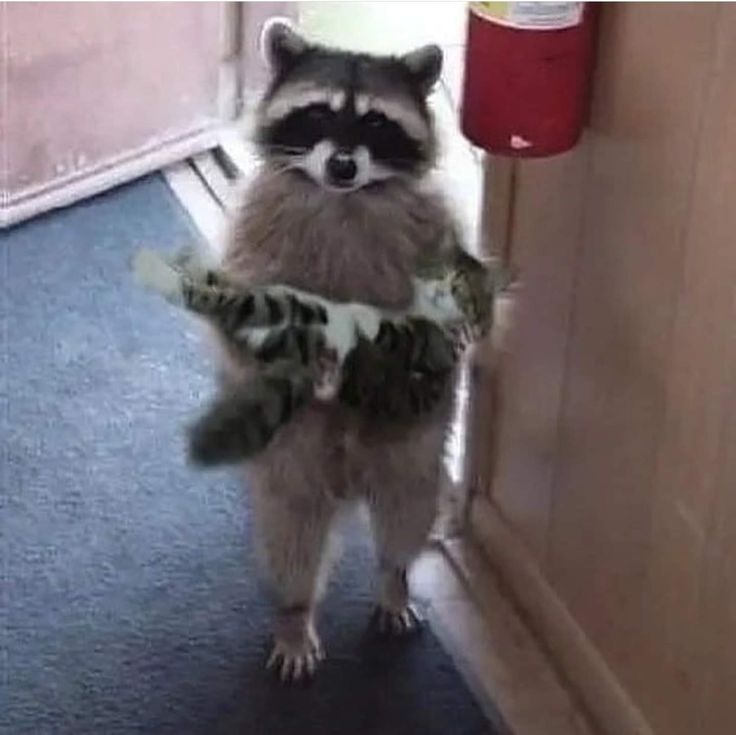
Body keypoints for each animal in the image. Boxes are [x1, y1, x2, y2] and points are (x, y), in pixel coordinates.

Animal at [218, 18, 484, 684]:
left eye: (375, 123)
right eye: (317, 114)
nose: (342, 165)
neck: (342, 195)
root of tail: (348, 469)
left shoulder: (431, 224)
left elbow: (449, 283)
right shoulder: (257, 229)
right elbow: (249, 300)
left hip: (411, 436)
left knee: (405, 506)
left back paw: (394, 578)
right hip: (296, 450)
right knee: (292, 527)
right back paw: (294, 611)